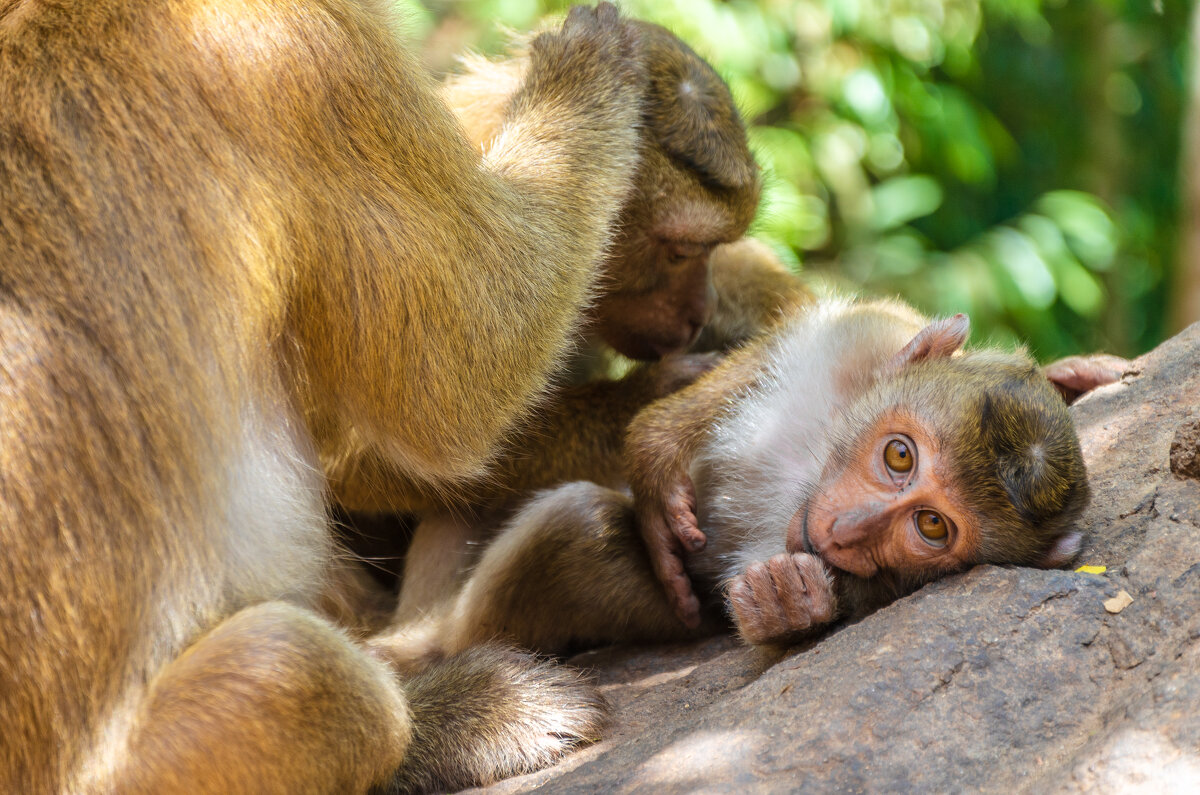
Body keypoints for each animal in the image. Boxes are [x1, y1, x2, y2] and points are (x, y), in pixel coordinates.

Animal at [369, 293, 1094, 667]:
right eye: (898, 457)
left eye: (932, 525)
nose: (848, 529)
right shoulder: (863, 333)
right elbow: (749, 367)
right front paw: (658, 455)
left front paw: (786, 603)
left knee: (575, 527)